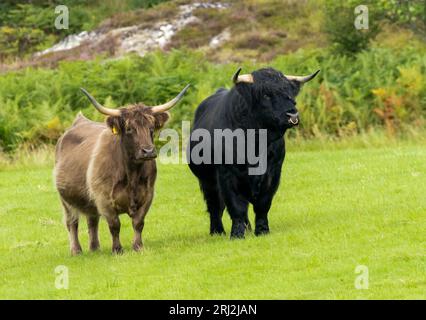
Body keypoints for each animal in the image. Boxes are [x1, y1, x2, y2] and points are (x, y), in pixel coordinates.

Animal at [188, 67, 318, 238]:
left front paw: (262, 230)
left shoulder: (273, 173)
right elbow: (235, 206)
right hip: (207, 181)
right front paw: (237, 234)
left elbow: (263, 205)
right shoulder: (226, 174)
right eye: (266, 94)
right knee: (215, 205)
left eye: (290, 94)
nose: (293, 115)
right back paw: (217, 231)